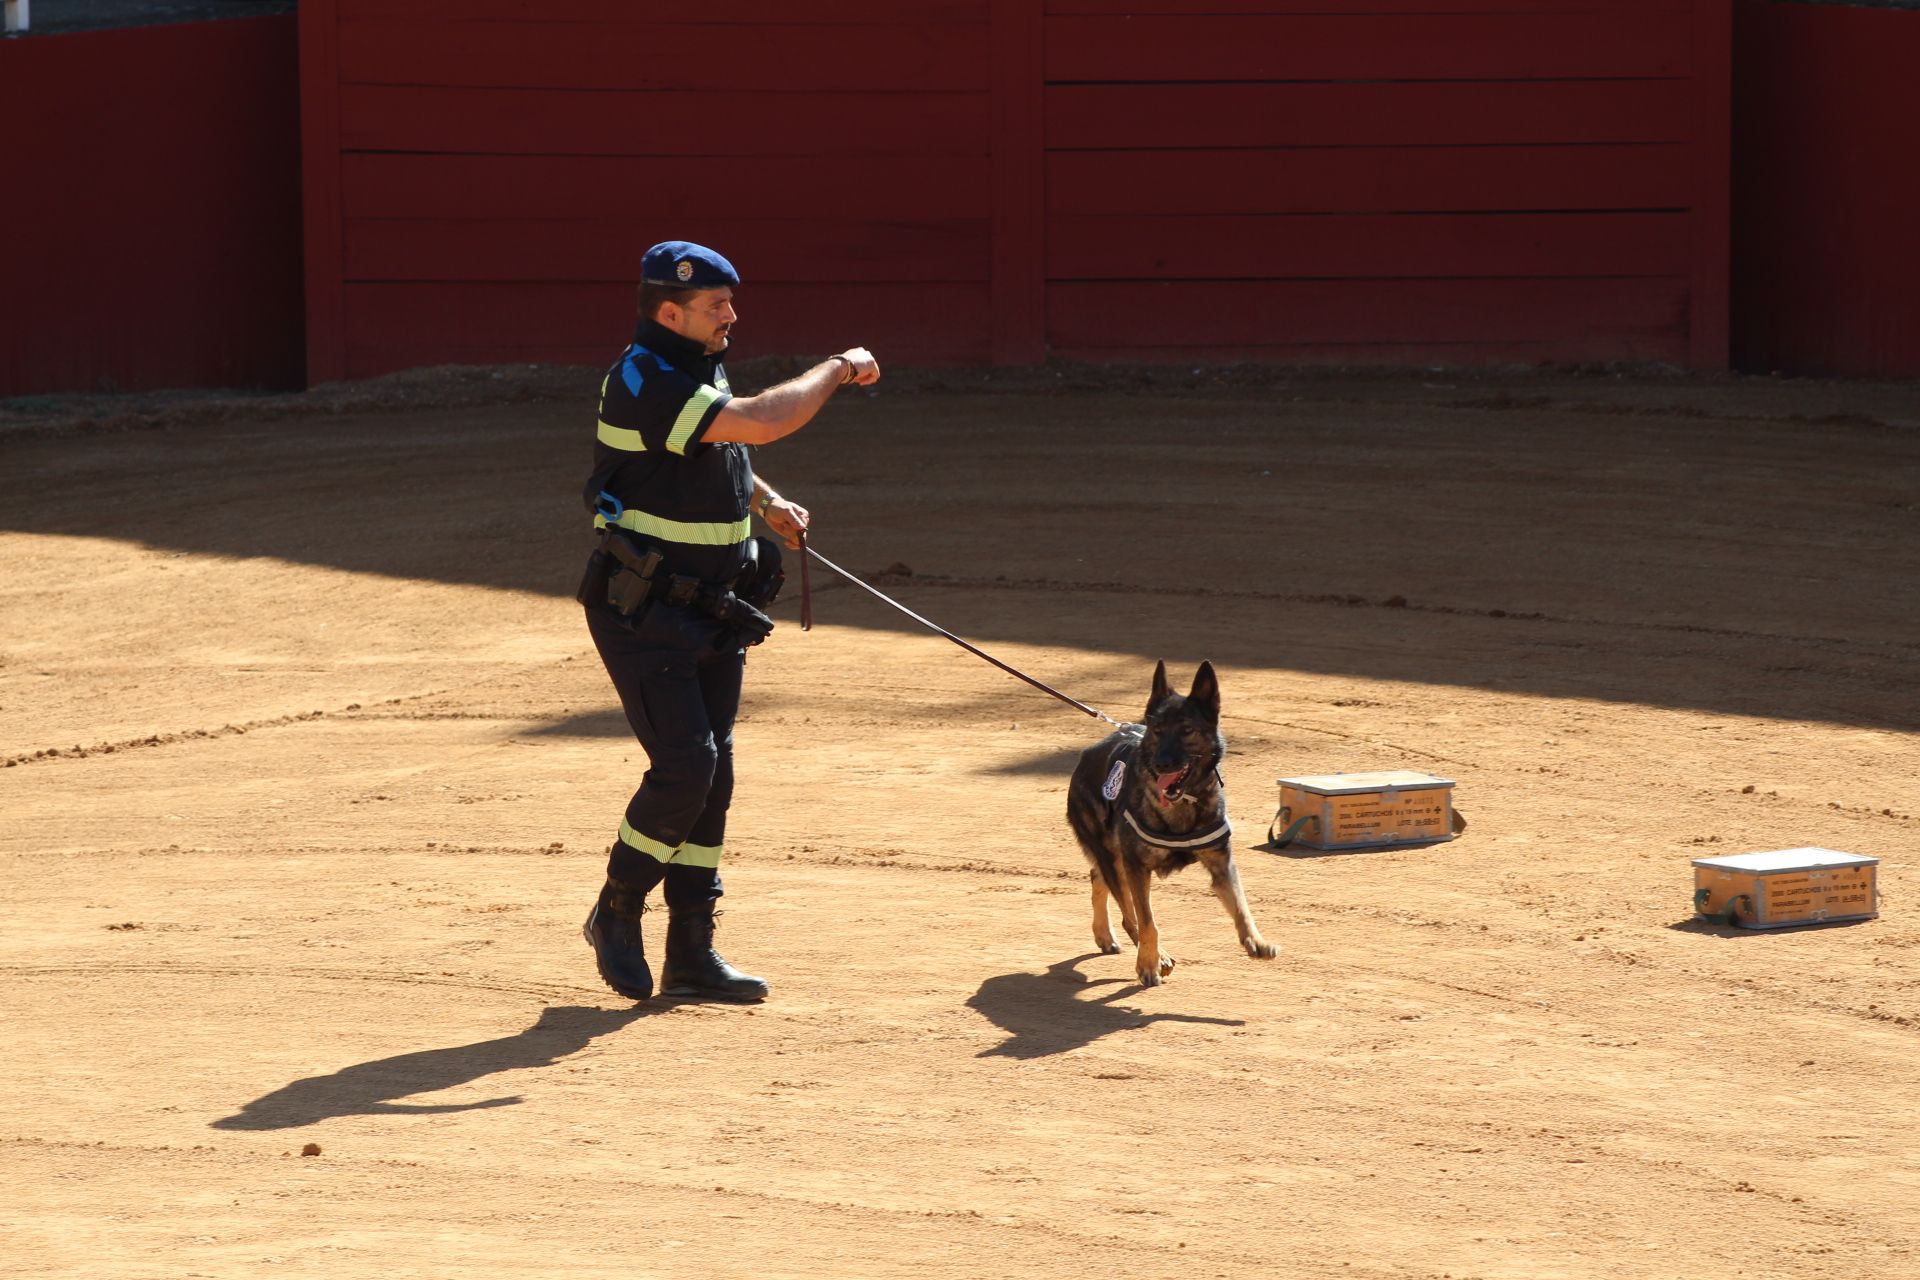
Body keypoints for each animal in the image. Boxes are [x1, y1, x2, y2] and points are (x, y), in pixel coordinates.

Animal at [1067, 667, 1274, 990]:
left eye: (1187, 730)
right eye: (1157, 730)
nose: (1162, 763)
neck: (1183, 803)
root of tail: (1087, 754)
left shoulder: (1221, 865)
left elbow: (1242, 906)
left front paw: (1256, 941)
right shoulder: (1137, 867)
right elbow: (1147, 922)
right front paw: (1150, 964)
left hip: (1115, 860)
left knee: (1098, 878)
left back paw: (1104, 934)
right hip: (1115, 858)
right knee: (1127, 913)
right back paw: (1151, 953)